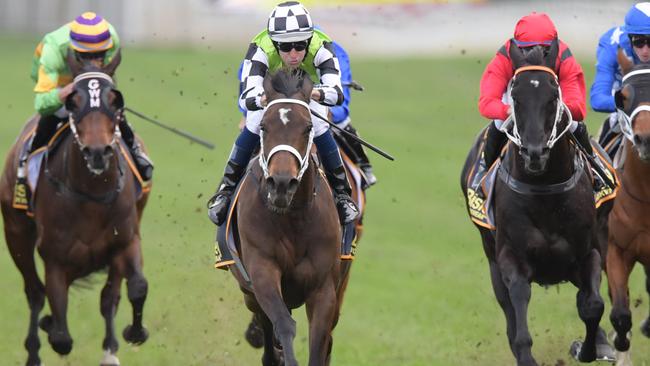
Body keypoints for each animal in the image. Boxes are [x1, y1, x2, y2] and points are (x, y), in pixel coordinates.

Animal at [0, 62, 149, 364]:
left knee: (109, 295)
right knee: (35, 293)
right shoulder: (55, 258)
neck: (92, 195)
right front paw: (49, 325)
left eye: (115, 100)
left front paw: (134, 332)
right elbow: (61, 337)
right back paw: (35, 349)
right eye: (73, 101)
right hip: (15, 233)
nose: (97, 152)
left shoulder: (125, 240)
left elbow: (136, 287)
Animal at [232, 69, 346, 366]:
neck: (293, 217)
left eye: (307, 128)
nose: (282, 184)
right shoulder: (261, 269)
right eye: (263, 127)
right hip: (248, 291)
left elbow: (319, 341)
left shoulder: (324, 288)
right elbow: (283, 323)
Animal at [460, 41, 608, 364]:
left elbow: (592, 305)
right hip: (491, 257)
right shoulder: (510, 257)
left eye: (553, 96)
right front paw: (526, 355)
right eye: (515, 96)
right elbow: (518, 305)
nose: (534, 153)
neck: (545, 191)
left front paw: (590, 348)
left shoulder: (588, 252)